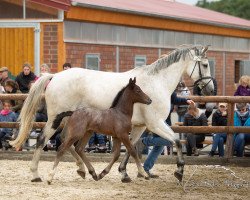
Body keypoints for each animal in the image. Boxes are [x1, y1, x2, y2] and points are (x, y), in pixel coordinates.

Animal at [10, 45, 215, 183]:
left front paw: (124, 172)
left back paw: (83, 170)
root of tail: (55, 76)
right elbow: (176, 141)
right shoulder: (154, 123)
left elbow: (131, 148)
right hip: (56, 118)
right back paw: (36, 174)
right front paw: (179, 171)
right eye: (205, 64)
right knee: (43, 140)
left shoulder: (140, 126)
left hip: (70, 121)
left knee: (64, 142)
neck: (157, 82)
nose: (210, 89)